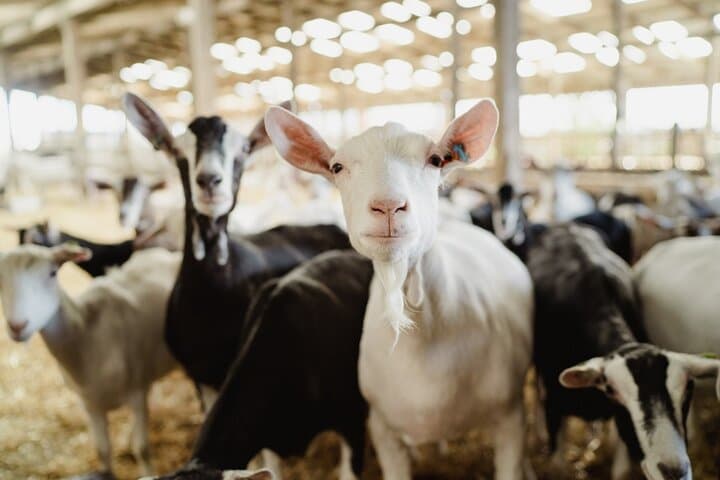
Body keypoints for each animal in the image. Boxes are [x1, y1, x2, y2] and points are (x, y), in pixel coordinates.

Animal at [0, 245, 179, 477]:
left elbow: (143, 449)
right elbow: (102, 452)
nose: (17, 326)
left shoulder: (137, 394)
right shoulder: (90, 404)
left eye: (53, 273)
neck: (86, 333)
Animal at [528, 224, 719, 480]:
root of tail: (567, 227)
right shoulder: (554, 405)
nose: (673, 470)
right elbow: (558, 466)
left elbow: (621, 471)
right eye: (612, 390)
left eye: (687, 390)